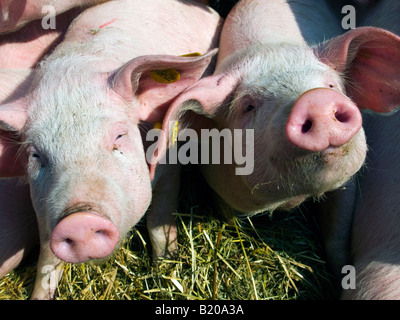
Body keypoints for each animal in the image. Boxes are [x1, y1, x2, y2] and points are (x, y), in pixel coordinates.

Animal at [0, 0, 222, 300]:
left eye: (119, 136)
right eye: (36, 156)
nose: (79, 220)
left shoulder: (168, 160)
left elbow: (159, 217)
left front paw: (165, 268)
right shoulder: (45, 213)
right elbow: (47, 260)